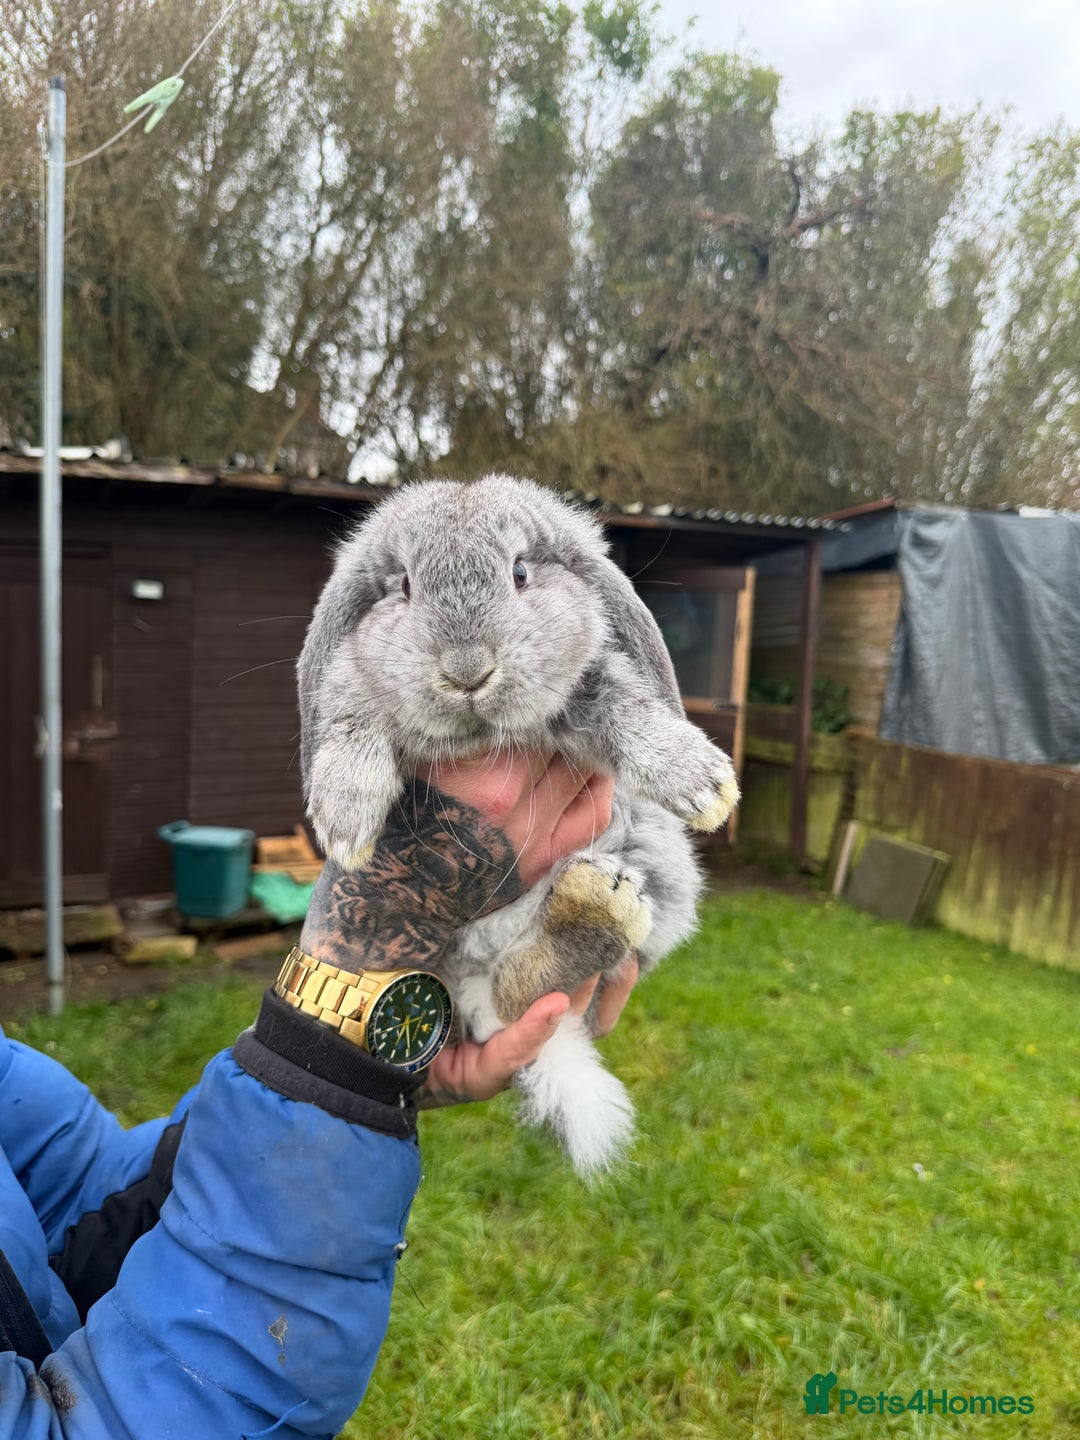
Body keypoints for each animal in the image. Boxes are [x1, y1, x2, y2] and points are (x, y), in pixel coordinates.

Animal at [297, 473, 739, 1174]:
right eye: (404, 587)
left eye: (521, 573)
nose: (466, 672)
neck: (482, 737)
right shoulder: (354, 683)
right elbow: (349, 716)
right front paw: (345, 822)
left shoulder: (590, 690)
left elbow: (625, 707)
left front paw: (704, 785)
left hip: (663, 866)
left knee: (534, 983)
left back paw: (596, 909)